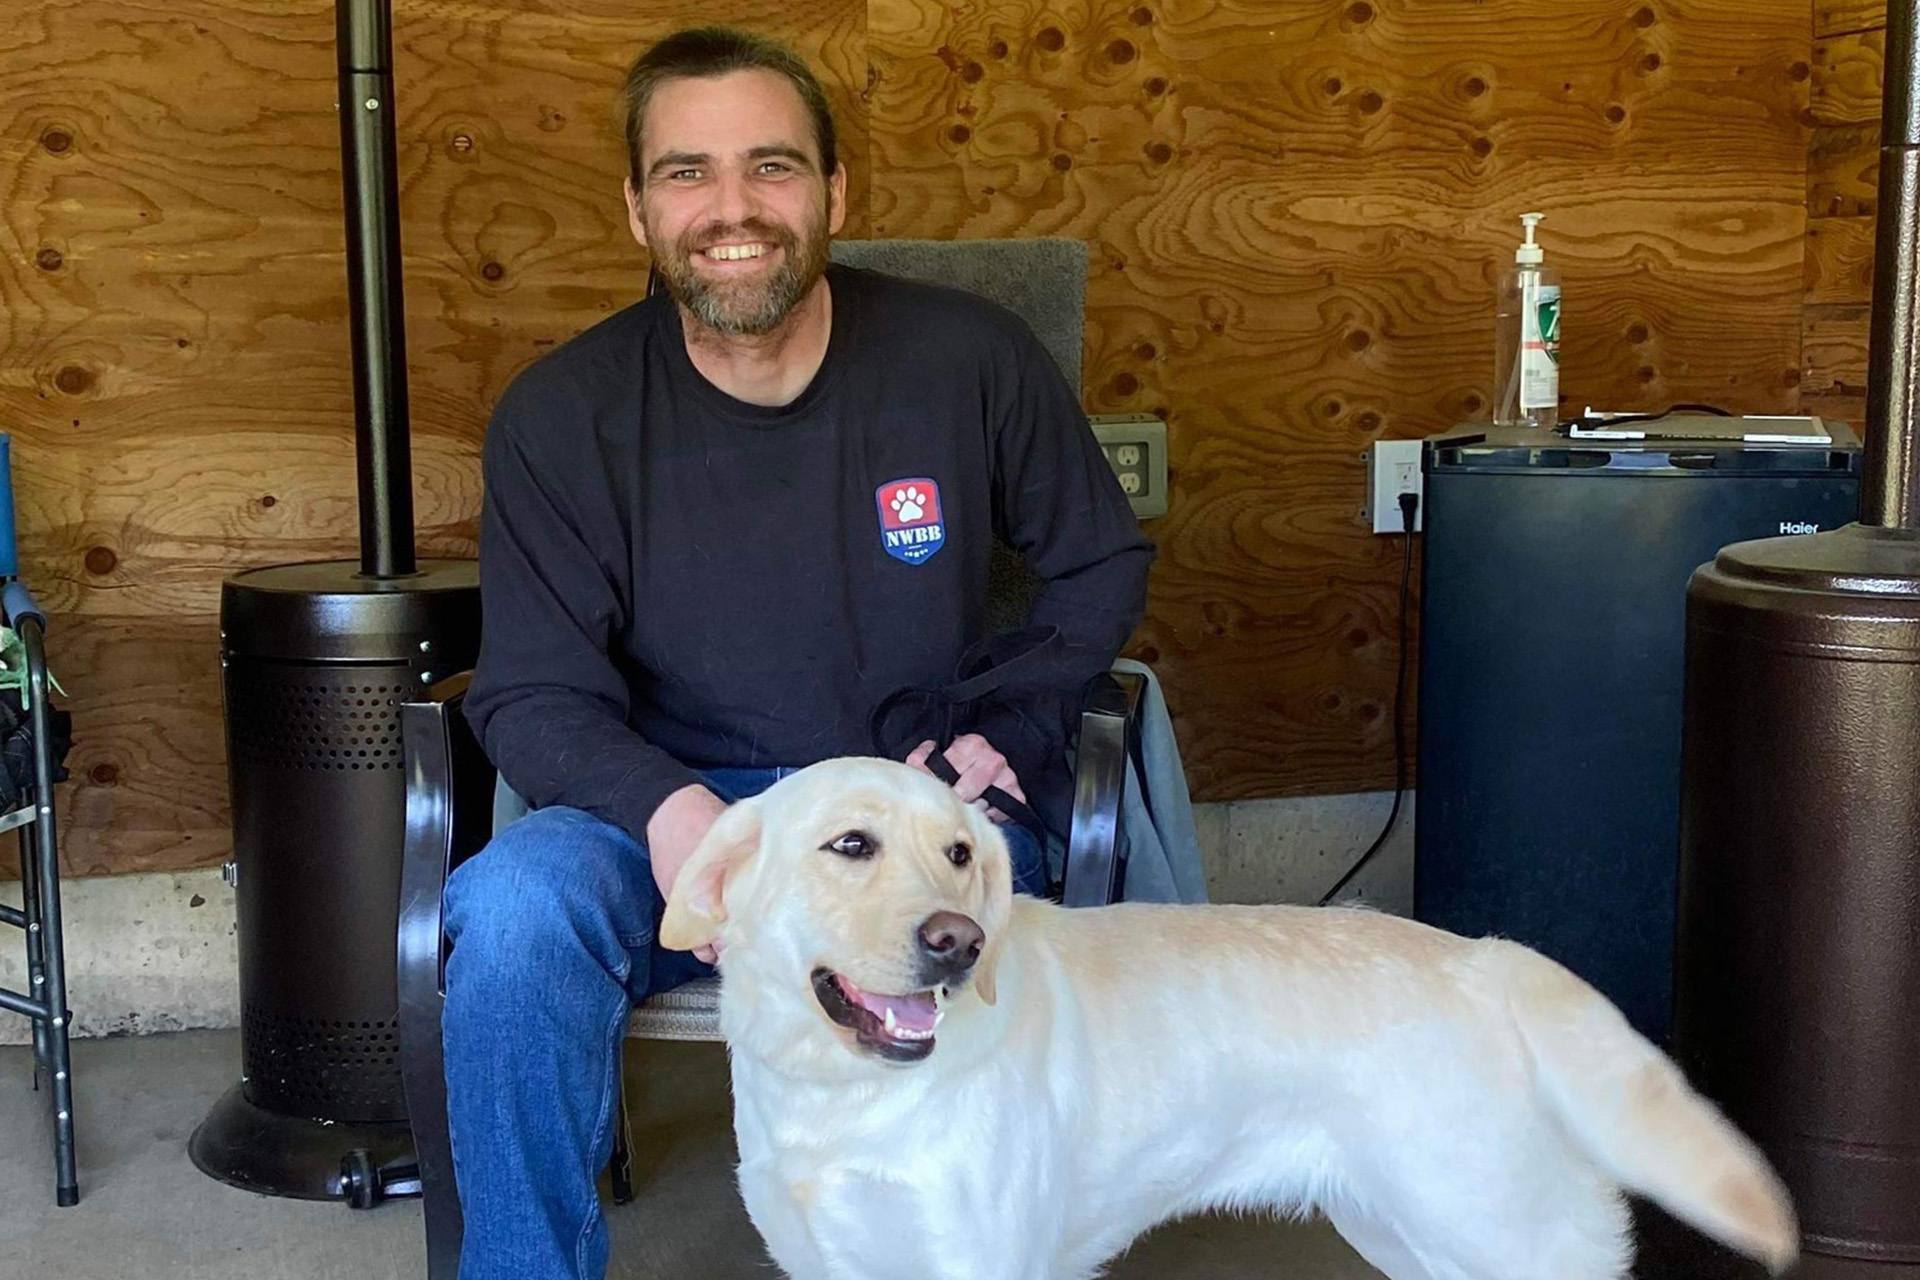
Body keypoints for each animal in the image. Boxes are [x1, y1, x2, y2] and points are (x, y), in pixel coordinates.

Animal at [664, 759, 1797, 1280]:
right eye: (849, 845)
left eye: (959, 854)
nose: (960, 942)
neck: (842, 1099)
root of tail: (1490, 956)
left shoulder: (983, 1262)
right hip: (1411, 1236)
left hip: (1509, 1241)